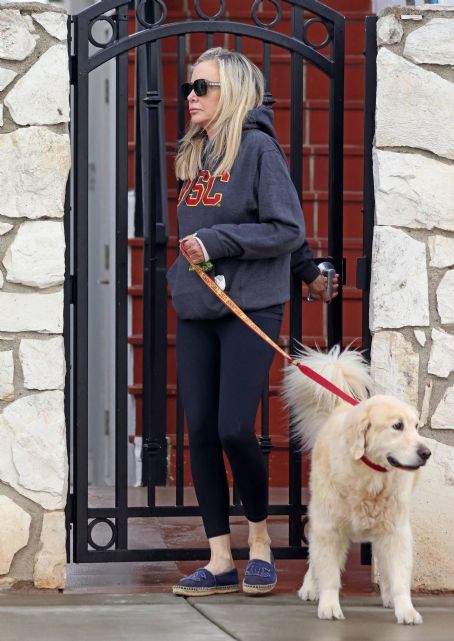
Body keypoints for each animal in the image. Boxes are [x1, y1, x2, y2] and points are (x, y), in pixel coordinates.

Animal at [282, 348, 430, 624]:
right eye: (397, 426)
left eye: (416, 426)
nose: (426, 453)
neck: (370, 476)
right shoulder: (329, 528)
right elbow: (328, 572)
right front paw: (329, 605)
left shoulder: (396, 531)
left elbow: (399, 576)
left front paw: (405, 609)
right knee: (313, 557)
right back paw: (310, 587)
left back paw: (387, 595)